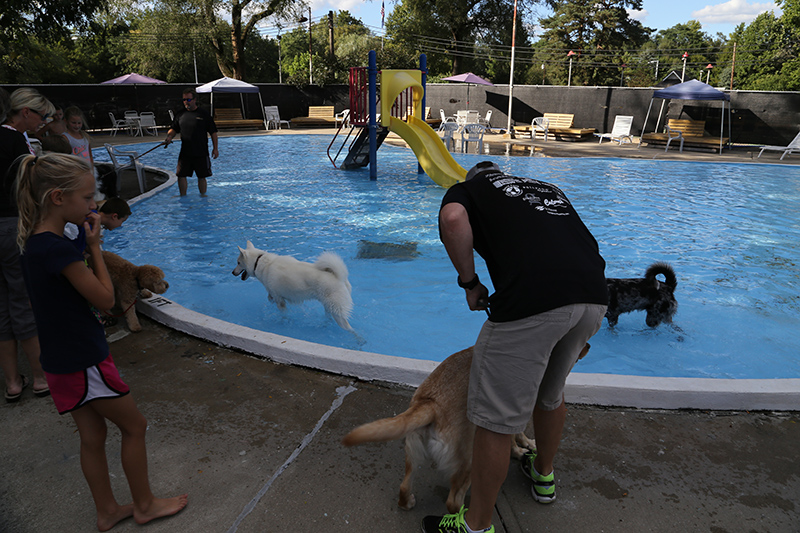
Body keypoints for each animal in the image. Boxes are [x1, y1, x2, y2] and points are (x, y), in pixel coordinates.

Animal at [340, 342, 592, 512]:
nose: (588, 345)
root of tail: (431, 403)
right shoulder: (513, 416)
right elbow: (517, 436)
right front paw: (524, 447)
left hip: (413, 453)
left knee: (404, 486)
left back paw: (407, 501)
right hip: (470, 460)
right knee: (453, 501)